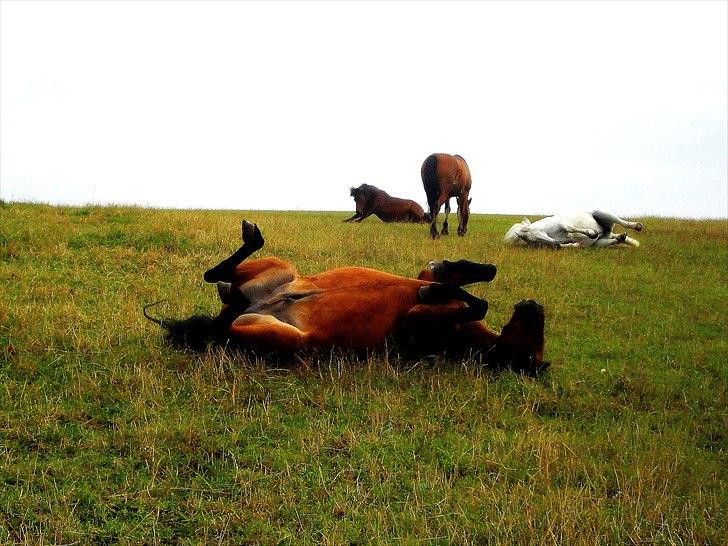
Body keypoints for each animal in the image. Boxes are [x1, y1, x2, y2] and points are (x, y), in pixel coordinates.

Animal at [145, 221, 548, 374]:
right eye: (537, 340)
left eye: (532, 355)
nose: (534, 305)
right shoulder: (425, 295)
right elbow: (470, 277)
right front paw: (452, 273)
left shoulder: (415, 325)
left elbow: (474, 301)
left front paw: (441, 289)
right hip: (283, 269)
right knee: (217, 278)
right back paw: (250, 240)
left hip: (280, 335)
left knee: (223, 301)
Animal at [506, 210, 644, 249]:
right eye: (535, 242)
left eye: (537, 233)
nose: (555, 244)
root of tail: (607, 231)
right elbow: (568, 244)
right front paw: (575, 244)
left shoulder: (563, 222)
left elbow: (571, 228)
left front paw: (592, 233)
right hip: (599, 243)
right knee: (614, 239)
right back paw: (621, 237)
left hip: (603, 213)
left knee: (622, 222)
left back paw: (636, 226)